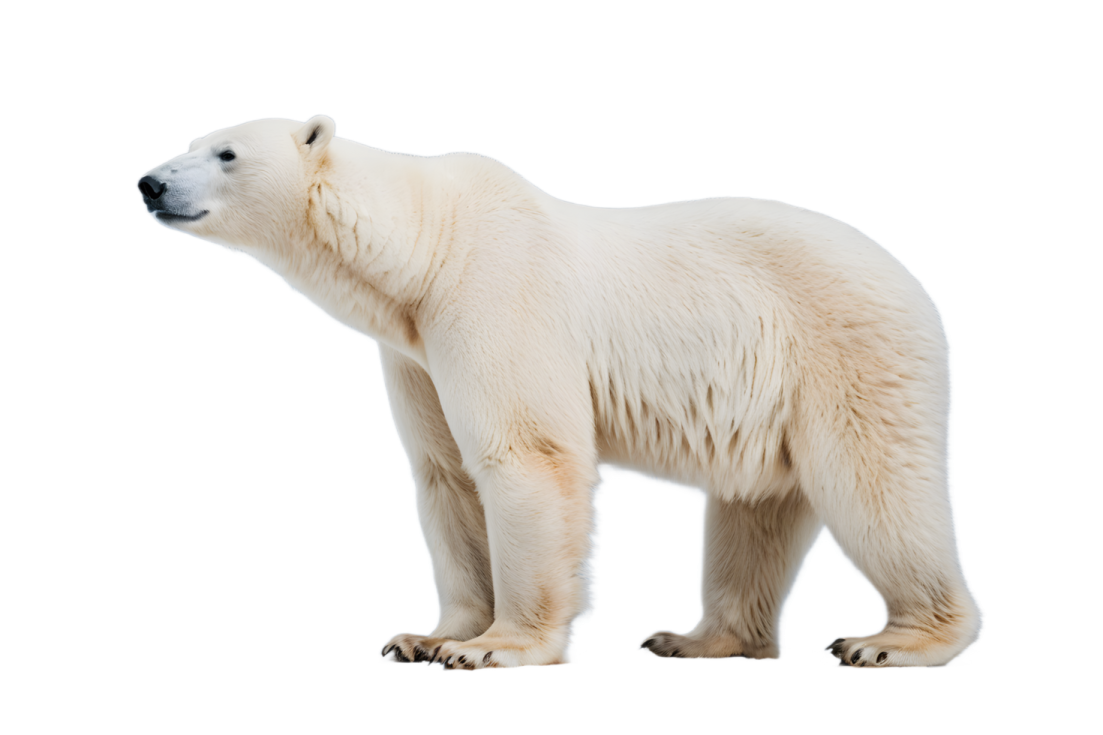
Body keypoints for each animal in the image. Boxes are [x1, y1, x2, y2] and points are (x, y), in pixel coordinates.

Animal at [137, 115, 982, 670]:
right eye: (189, 144)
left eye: (225, 151)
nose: (149, 181)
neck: (426, 249)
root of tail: (911, 282)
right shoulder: (414, 351)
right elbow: (446, 478)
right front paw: (428, 636)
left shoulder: (493, 297)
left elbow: (523, 453)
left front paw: (495, 648)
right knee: (752, 508)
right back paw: (696, 638)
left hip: (846, 352)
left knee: (872, 485)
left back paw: (889, 640)